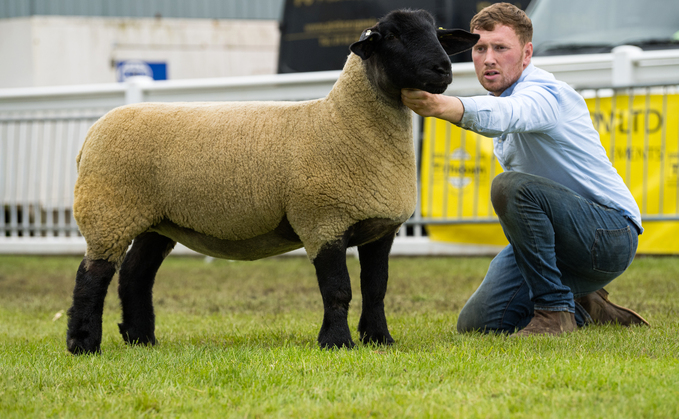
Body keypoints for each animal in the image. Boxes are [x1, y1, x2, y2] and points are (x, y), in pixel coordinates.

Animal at [65, 9, 478, 354]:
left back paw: (141, 339)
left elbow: (376, 289)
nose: (443, 69)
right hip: (109, 211)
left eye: (437, 34)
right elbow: (338, 290)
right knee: (92, 276)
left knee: (135, 275)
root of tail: (90, 136)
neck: (341, 122)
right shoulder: (323, 221)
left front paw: (379, 339)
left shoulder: (379, 229)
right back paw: (84, 344)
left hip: (158, 221)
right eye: (391, 36)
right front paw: (336, 342)